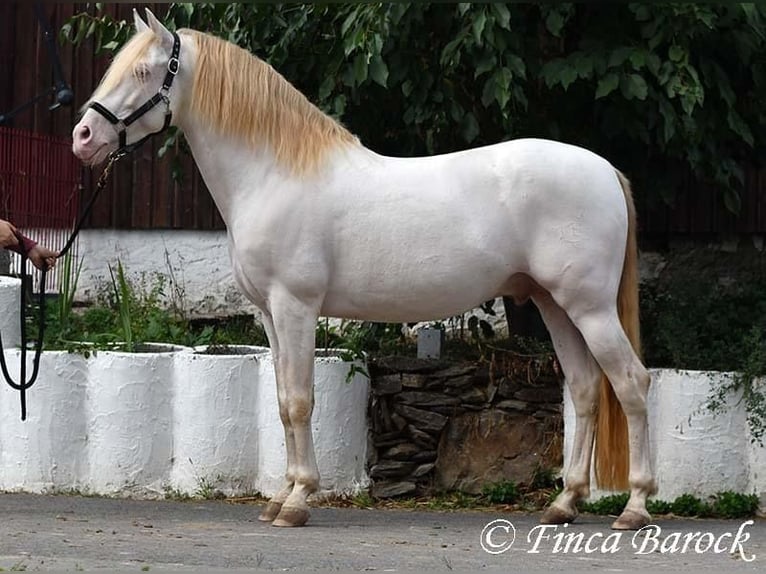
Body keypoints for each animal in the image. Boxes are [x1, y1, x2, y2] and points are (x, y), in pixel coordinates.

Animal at [72, 9, 656, 532]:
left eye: (143, 72)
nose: (83, 137)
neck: (273, 174)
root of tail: (604, 169)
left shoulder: (295, 307)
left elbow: (300, 401)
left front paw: (298, 501)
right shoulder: (268, 316)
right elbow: (281, 402)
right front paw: (281, 497)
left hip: (590, 308)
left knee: (631, 383)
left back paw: (634, 507)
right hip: (553, 304)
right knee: (585, 389)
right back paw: (565, 503)